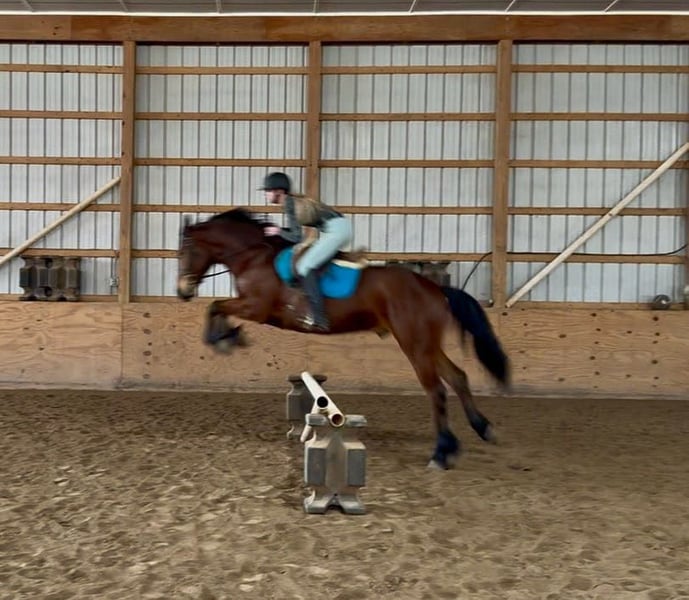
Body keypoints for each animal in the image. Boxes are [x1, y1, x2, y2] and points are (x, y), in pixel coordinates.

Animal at [176, 208, 510, 470]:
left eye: (185, 251)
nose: (183, 291)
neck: (253, 255)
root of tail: (436, 289)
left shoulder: (256, 307)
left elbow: (215, 306)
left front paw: (224, 338)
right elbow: (216, 307)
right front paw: (227, 336)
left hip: (414, 343)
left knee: (437, 390)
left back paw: (441, 453)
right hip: (426, 344)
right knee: (457, 376)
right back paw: (481, 430)